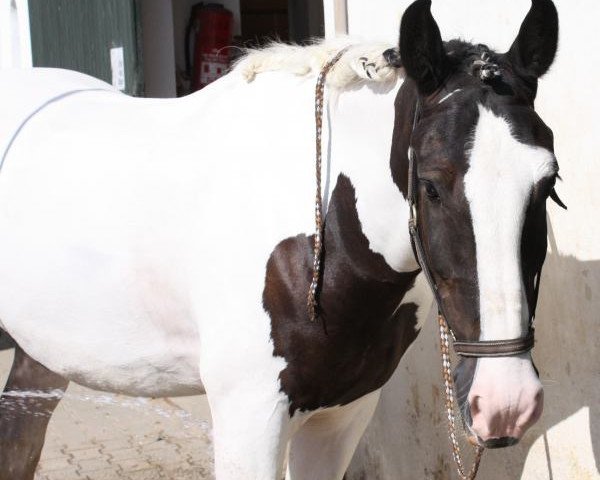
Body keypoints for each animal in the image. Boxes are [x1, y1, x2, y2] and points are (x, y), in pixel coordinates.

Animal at [0, 0, 564, 478]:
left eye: (548, 181)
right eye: (429, 184)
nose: (506, 402)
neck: (319, 243)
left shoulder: (342, 414)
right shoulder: (250, 419)